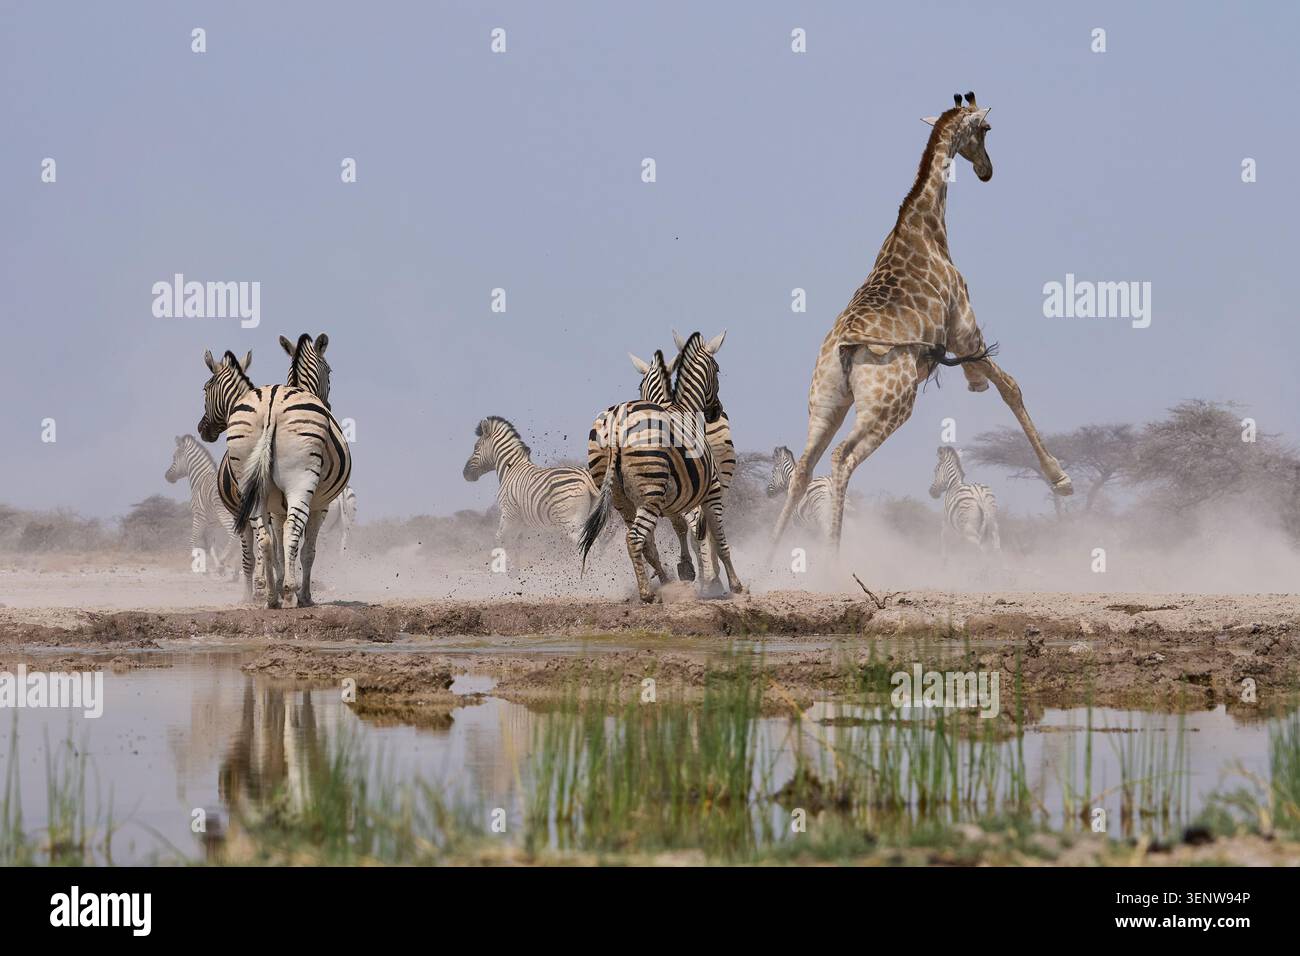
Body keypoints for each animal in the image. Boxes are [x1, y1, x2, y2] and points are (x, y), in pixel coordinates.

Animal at [165, 434, 241, 576]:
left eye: (174, 457)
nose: (166, 476)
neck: (200, 478)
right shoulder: (212, 522)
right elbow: (211, 545)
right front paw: (218, 567)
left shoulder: (199, 516)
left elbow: (194, 539)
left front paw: (194, 561)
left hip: (225, 514)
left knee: (234, 535)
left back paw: (225, 559)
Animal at [197, 347, 352, 608]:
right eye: (329, 372)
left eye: (206, 388)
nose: (202, 429)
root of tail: (272, 404)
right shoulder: (314, 506)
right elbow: (303, 550)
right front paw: (299, 594)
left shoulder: (270, 507)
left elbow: (271, 550)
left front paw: (267, 589)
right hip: (299, 483)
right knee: (288, 533)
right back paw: (286, 592)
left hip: (255, 489)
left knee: (266, 540)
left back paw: (271, 596)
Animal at [464, 416, 599, 547]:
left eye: (476, 447)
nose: (465, 473)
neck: (511, 468)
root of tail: (586, 476)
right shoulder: (521, 524)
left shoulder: (508, 514)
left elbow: (499, 540)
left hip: (571, 523)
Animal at [580, 331, 743, 603]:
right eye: (718, 369)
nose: (716, 412)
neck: (682, 407)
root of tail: (616, 422)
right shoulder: (711, 489)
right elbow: (719, 538)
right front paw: (734, 584)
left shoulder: (675, 498)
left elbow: (681, 530)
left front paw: (686, 571)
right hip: (653, 491)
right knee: (639, 537)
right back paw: (653, 592)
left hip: (621, 497)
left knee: (645, 541)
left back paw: (663, 585)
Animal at [770, 92, 1072, 558]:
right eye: (986, 130)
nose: (986, 170)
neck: (925, 225)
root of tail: (844, 350)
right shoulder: (964, 327)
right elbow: (1011, 387)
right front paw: (1060, 477)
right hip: (889, 405)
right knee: (842, 458)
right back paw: (833, 559)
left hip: (825, 401)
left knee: (804, 466)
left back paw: (766, 560)